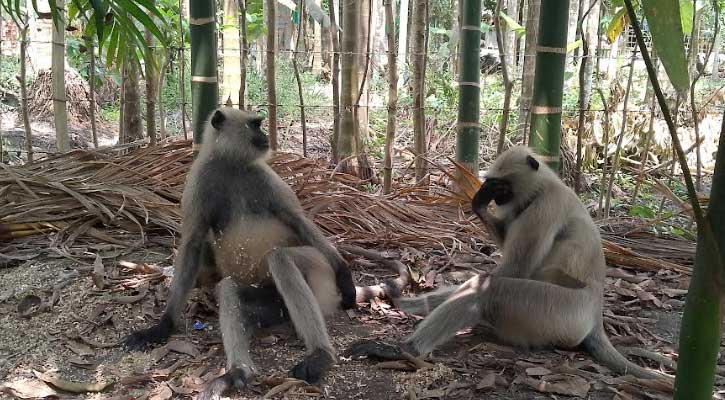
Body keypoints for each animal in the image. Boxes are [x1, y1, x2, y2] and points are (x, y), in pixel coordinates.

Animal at [125, 108, 404, 398]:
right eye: (254, 126)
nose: (266, 136)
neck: (231, 164)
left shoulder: (264, 175)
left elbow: (298, 221)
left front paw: (344, 273)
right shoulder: (198, 182)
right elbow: (192, 245)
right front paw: (163, 325)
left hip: (321, 282)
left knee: (280, 258)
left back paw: (320, 354)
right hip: (273, 306)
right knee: (229, 288)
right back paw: (237, 373)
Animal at [348, 146, 672, 382]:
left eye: (501, 185)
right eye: (493, 184)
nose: (493, 193)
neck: (544, 186)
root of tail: (594, 315)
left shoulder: (544, 207)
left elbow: (514, 270)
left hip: (558, 313)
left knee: (488, 289)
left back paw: (402, 351)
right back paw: (408, 306)